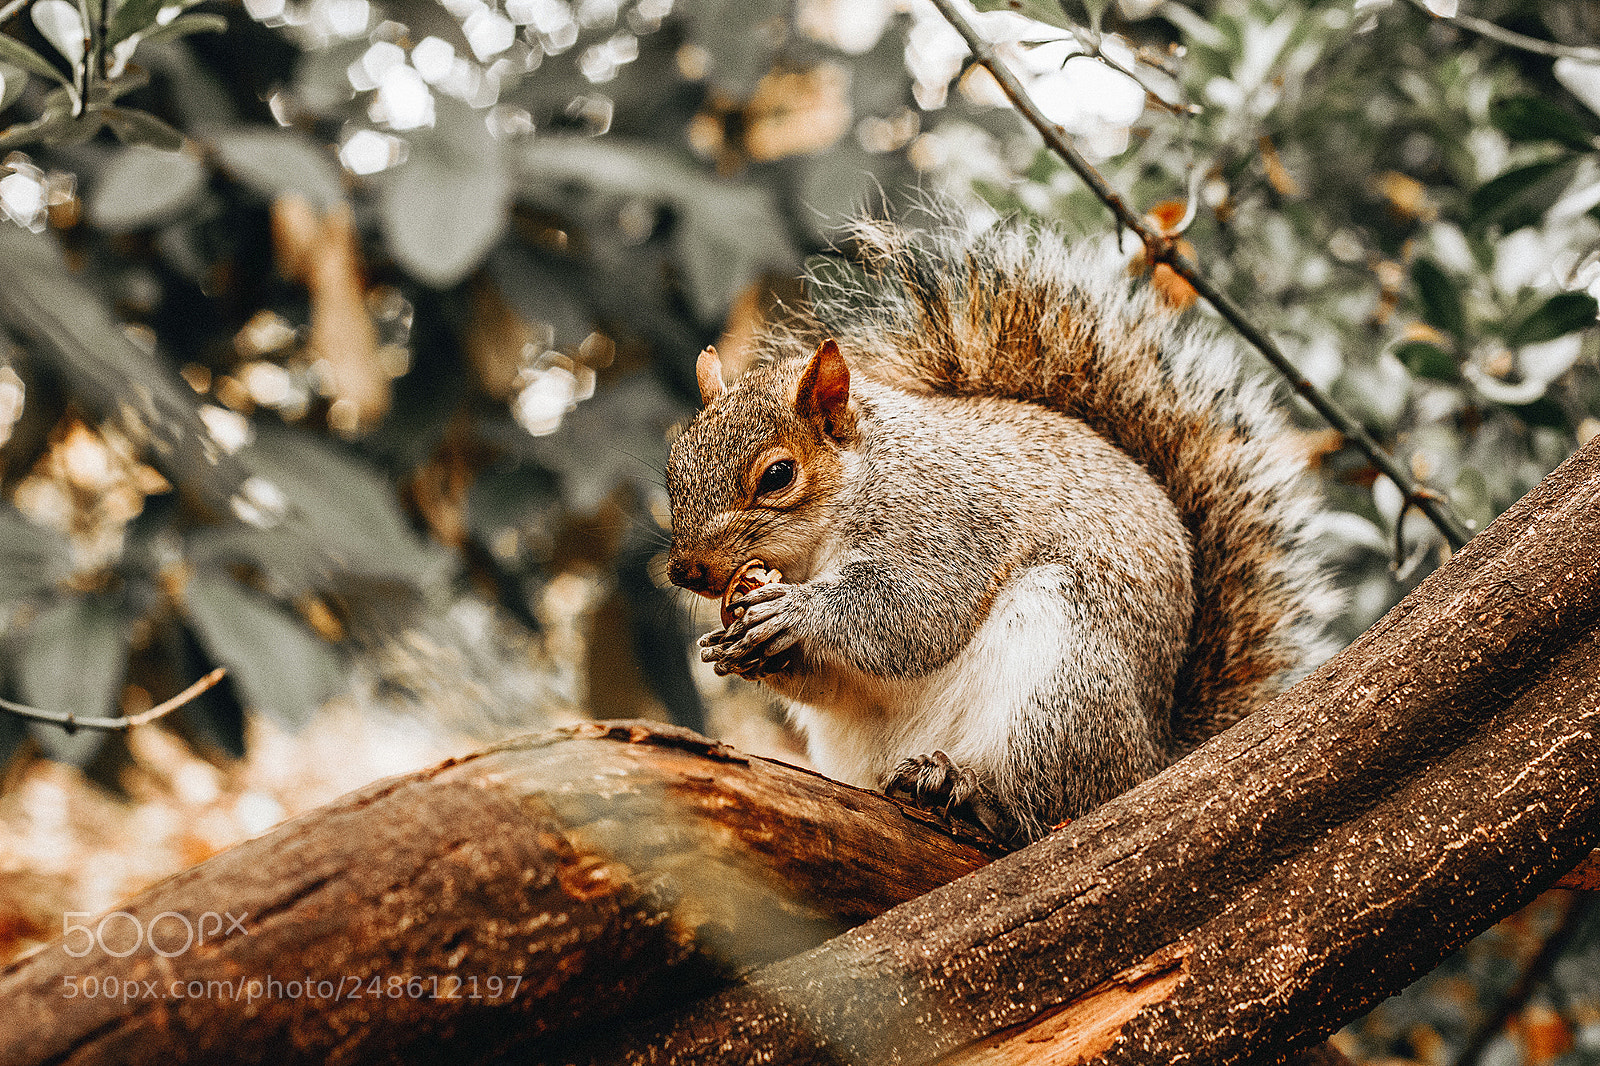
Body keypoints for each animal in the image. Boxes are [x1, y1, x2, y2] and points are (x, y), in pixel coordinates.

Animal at [665, 215, 1337, 845]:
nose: (685, 570)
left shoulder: (944, 515)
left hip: (1062, 683)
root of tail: (1154, 756)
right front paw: (729, 648)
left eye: (778, 475)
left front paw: (795, 611)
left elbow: (919, 610)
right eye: (673, 463)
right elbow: (834, 679)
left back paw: (966, 790)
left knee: (1052, 804)